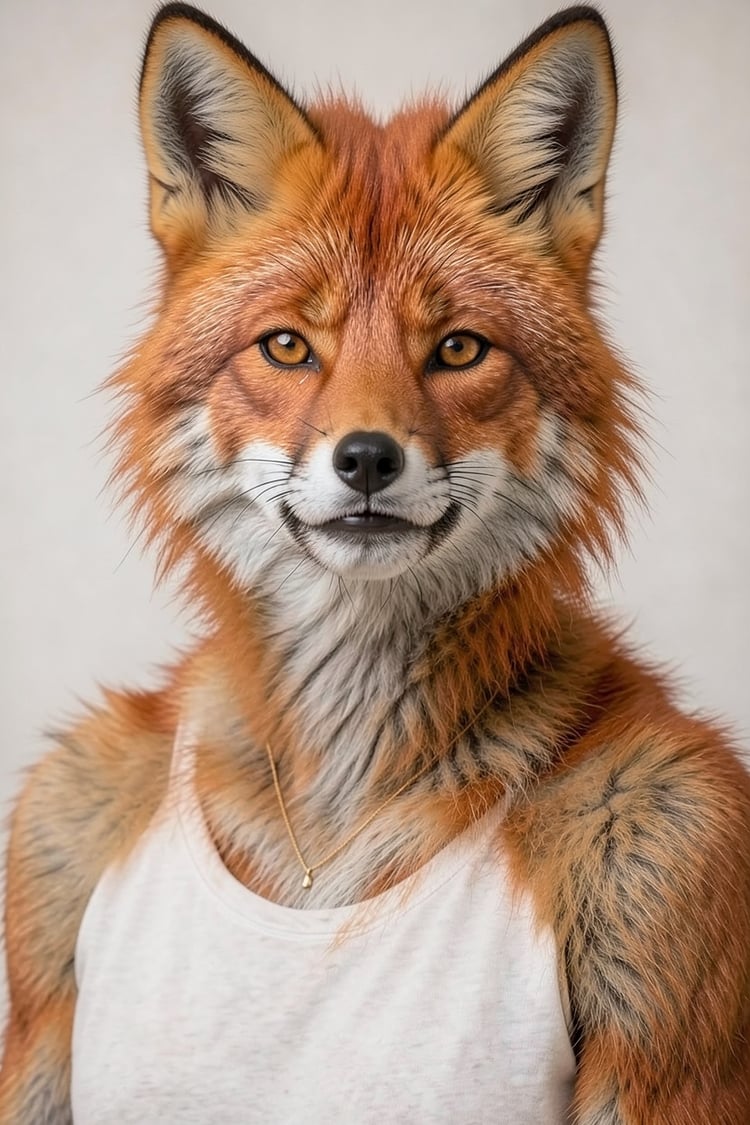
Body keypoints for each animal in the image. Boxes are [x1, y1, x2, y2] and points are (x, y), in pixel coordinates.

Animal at [2, 2, 750, 1122]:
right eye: (286, 347)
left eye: (458, 349)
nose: (365, 458)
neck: (333, 807)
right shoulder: (57, 837)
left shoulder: (673, 872)